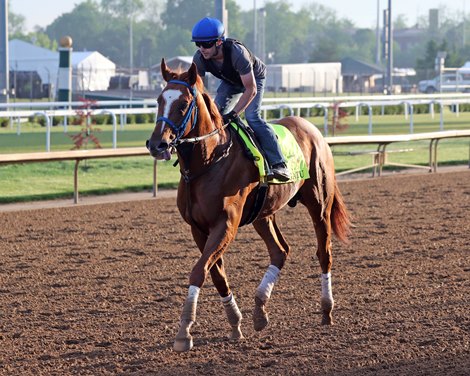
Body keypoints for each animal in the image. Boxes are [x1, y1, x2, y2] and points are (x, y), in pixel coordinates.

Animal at [145, 58, 350, 352]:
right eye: (159, 100)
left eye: (183, 104)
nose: (157, 144)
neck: (209, 161)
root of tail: (313, 130)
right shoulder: (198, 228)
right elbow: (216, 274)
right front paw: (235, 323)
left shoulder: (226, 224)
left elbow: (198, 271)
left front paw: (184, 331)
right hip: (263, 213)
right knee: (280, 251)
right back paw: (260, 311)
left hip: (319, 204)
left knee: (324, 253)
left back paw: (326, 309)